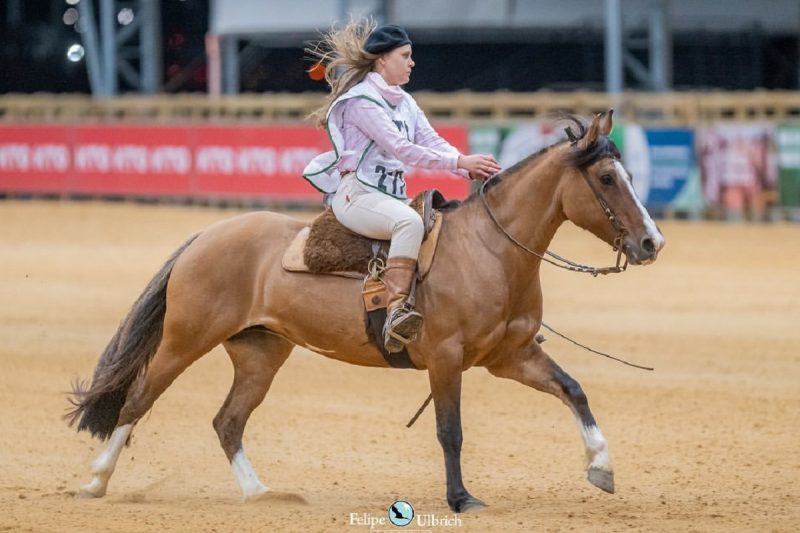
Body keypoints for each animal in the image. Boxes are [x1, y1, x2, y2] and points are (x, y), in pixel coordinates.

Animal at [67, 111, 664, 512]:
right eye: (606, 179)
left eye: (631, 175)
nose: (651, 243)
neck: (490, 251)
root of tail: (207, 235)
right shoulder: (445, 359)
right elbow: (451, 431)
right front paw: (461, 498)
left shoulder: (510, 357)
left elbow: (574, 391)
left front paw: (602, 468)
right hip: (184, 340)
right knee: (137, 401)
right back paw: (95, 481)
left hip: (261, 353)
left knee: (228, 420)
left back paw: (260, 493)